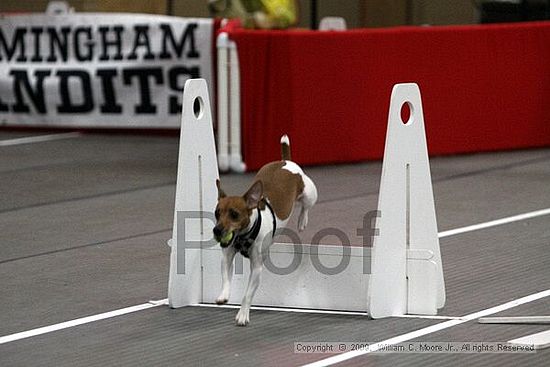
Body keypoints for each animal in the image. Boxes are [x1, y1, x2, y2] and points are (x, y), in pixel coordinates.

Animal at [216, 134, 320, 324]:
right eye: (216, 214)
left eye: (234, 214)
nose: (217, 230)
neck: (243, 235)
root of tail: (285, 161)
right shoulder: (226, 258)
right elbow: (226, 279)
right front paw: (223, 295)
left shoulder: (257, 268)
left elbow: (247, 295)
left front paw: (243, 314)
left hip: (310, 194)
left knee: (306, 206)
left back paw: (302, 220)